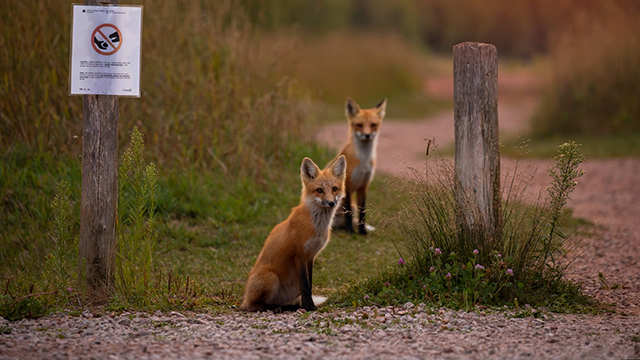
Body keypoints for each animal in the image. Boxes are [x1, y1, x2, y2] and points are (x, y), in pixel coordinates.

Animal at [239, 155, 344, 312]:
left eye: (334, 189)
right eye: (319, 190)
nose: (331, 203)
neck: (316, 227)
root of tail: (245, 297)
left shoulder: (311, 256)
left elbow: (310, 284)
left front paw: (306, 305)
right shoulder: (299, 254)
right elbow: (305, 286)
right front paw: (309, 306)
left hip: (291, 288)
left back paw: (289, 306)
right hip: (271, 278)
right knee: (253, 305)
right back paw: (272, 307)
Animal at [332, 97, 388, 235]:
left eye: (373, 125)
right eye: (359, 125)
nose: (367, 135)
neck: (363, 162)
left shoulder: (364, 185)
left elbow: (362, 211)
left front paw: (362, 231)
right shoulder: (347, 185)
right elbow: (348, 212)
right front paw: (350, 231)